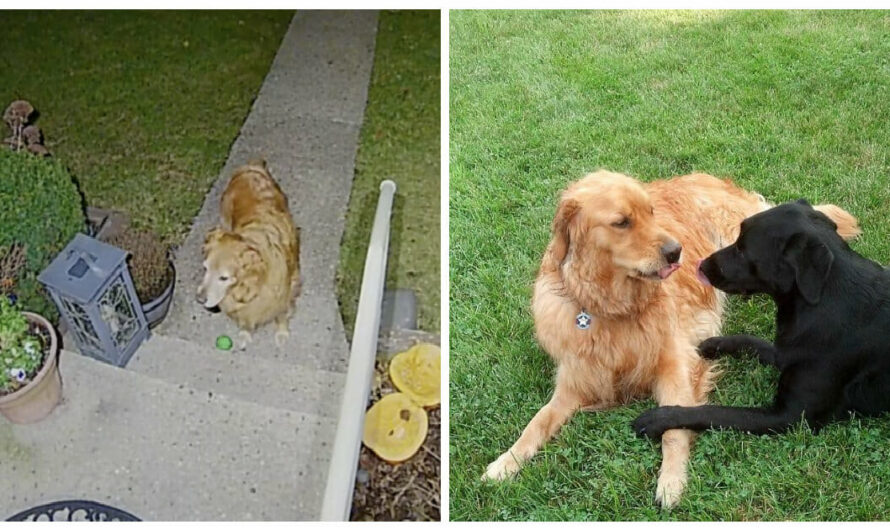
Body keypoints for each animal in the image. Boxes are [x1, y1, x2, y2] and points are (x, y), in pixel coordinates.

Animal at [196, 157, 300, 348]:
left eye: (224, 278)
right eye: (205, 269)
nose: (200, 299)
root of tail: (250, 167)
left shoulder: (285, 293)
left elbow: (281, 315)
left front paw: (282, 333)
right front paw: (245, 333)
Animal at [632, 199, 888, 438]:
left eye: (743, 249)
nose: (701, 266)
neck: (820, 299)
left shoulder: (790, 416)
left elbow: (715, 412)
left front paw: (661, 418)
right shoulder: (785, 352)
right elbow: (755, 343)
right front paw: (715, 344)